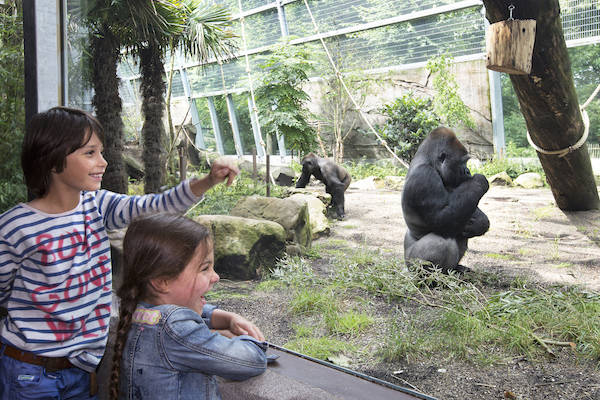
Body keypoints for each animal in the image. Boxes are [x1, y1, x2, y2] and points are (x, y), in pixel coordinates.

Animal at [400, 126, 490, 274]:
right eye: (463, 162)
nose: (468, 171)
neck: (429, 161)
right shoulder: (424, 175)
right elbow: (441, 219)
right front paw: (479, 182)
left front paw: (480, 223)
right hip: (411, 264)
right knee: (442, 243)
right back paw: (429, 276)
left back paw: (456, 269)